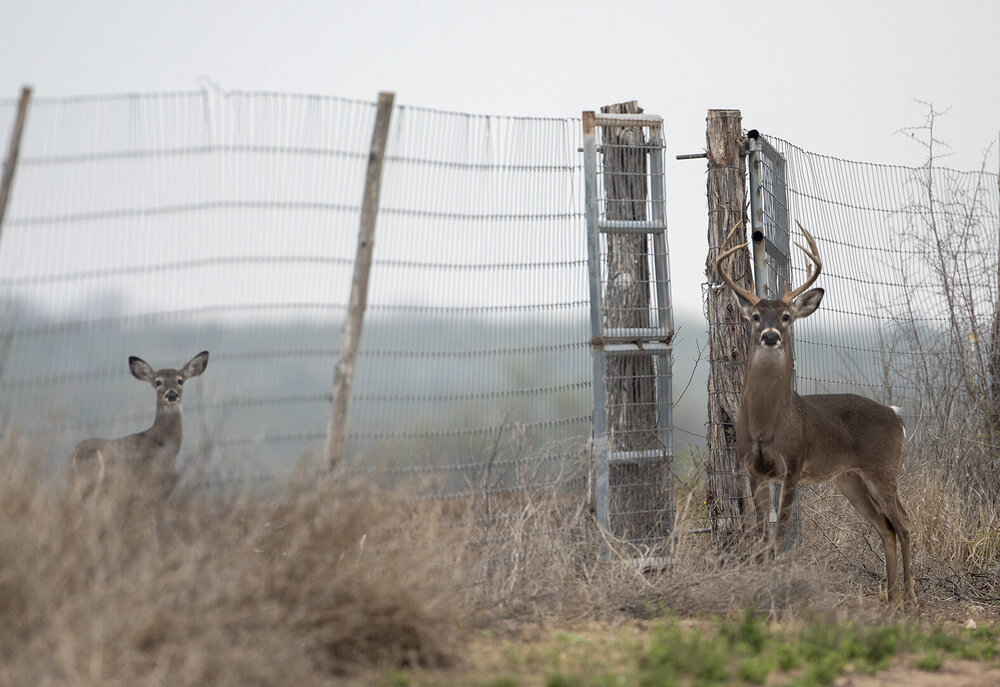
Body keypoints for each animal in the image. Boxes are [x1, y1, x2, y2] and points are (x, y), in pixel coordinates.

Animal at [69, 351, 209, 498]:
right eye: (158, 382)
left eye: (180, 380)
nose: (171, 395)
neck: (165, 444)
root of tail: (83, 455)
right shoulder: (155, 488)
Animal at [715, 221, 916, 608]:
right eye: (756, 316)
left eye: (786, 316)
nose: (771, 335)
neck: (766, 426)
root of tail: (895, 414)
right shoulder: (753, 469)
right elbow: (762, 538)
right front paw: (761, 588)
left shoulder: (793, 465)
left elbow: (779, 537)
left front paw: (777, 593)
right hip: (849, 479)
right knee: (886, 527)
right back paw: (891, 599)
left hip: (884, 468)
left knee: (904, 522)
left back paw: (911, 598)